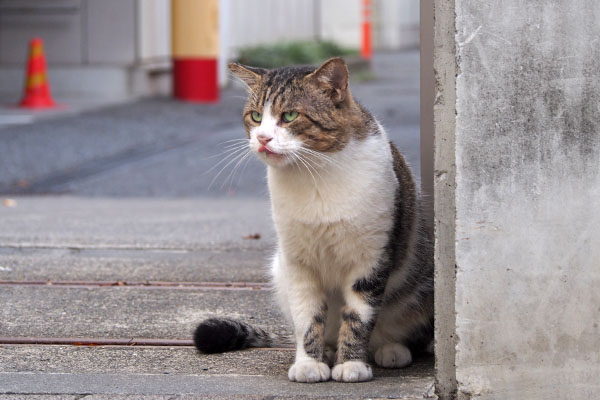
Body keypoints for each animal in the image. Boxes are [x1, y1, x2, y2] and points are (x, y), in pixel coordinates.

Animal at [195, 55, 434, 382]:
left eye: (290, 115)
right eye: (255, 117)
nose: (262, 138)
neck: (313, 175)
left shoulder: (370, 259)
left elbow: (358, 317)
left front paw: (352, 364)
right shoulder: (298, 262)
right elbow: (307, 318)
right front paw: (309, 362)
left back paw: (390, 349)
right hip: (279, 270)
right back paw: (329, 351)